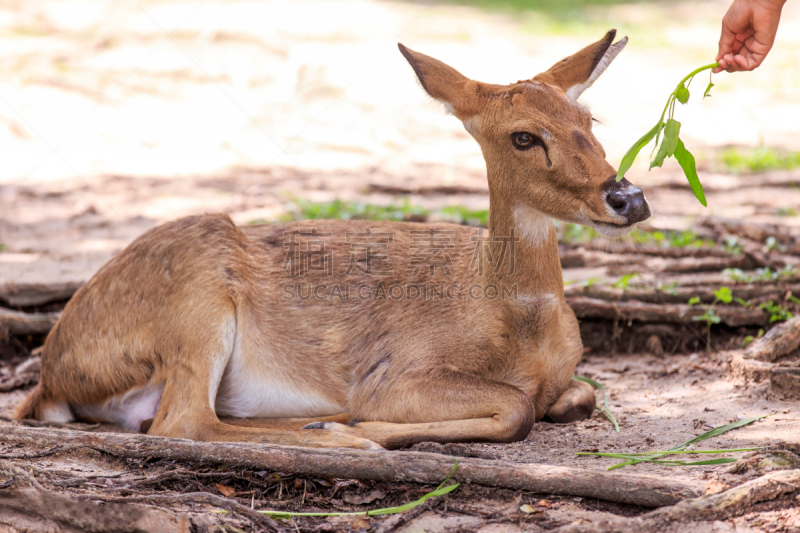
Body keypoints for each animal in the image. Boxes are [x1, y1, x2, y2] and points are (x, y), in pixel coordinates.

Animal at [14, 30, 648, 448]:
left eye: (589, 122)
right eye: (523, 137)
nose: (629, 198)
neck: (515, 324)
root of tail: (53, 374)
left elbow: (580, 395)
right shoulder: (396, 374)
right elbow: (517, 408)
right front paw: (366, 425)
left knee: (165, 419)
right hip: (197, 297)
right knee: (184, 421)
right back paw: (339, 432)